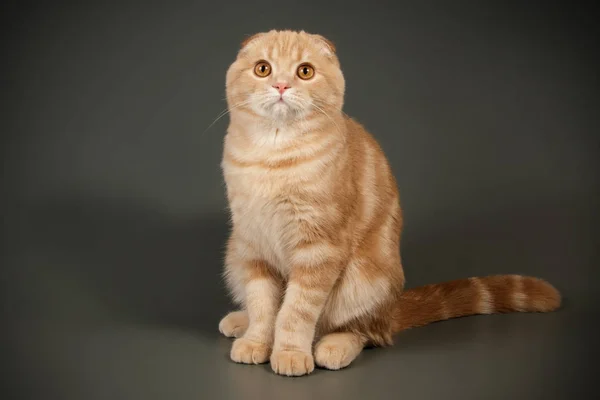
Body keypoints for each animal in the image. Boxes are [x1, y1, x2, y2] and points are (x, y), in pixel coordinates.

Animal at [217, 29, 564, 376]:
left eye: (305, 71)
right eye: (263, 69)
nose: (281, 86)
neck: (272, 157)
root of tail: (391, 308)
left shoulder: (319, 248)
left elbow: (295, 310)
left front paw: (289, 352)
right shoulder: (253, 245)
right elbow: (264, 305)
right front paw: (257, 341)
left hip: (362, 281)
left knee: (363, 332)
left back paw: (334, 347)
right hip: (234, 255)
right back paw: (239, 321)